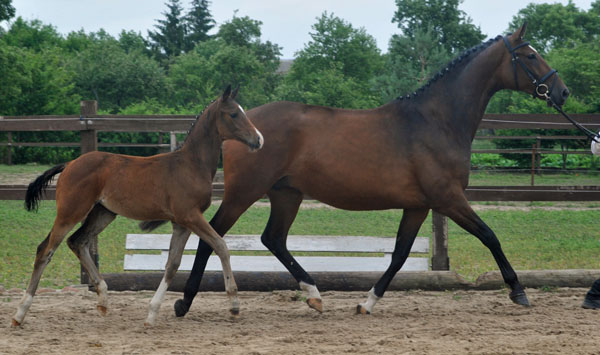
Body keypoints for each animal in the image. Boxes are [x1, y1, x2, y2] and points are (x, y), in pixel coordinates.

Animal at [11, 86, 264, 328]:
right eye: (234, 113)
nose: (259, 139)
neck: (191, 165)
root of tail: (70, 163)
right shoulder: (190, 216)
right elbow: (221, 246)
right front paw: (234, 304)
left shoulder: (180, 223)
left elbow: (172, 265)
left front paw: (151, 314)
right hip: (70, 212)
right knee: (45, 250)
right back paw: (20, 313)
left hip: (103, 213)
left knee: (77, 241)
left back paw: (103, 299)